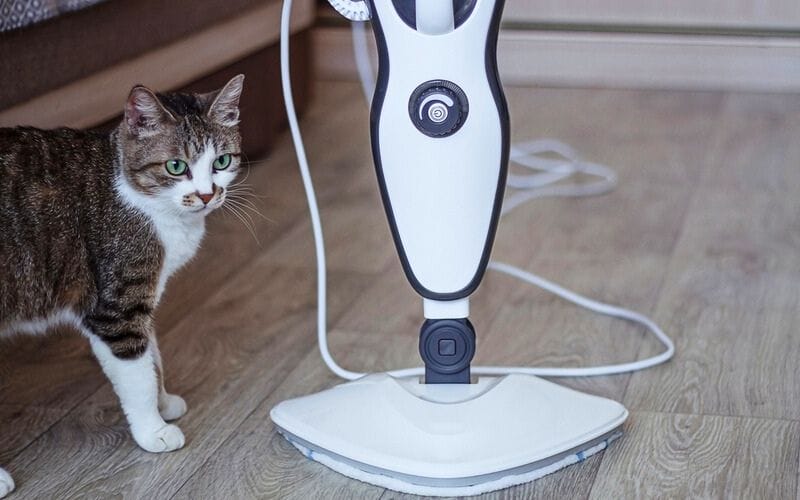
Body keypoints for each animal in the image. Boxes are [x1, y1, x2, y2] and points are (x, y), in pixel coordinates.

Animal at [0, 73, 245, 496]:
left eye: (222, 162)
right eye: (176, 166)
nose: (206, 194)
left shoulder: (143, 296)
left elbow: (153, 357)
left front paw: (164, 403)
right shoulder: (115, 303)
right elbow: (136, 372)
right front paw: (154, 431)